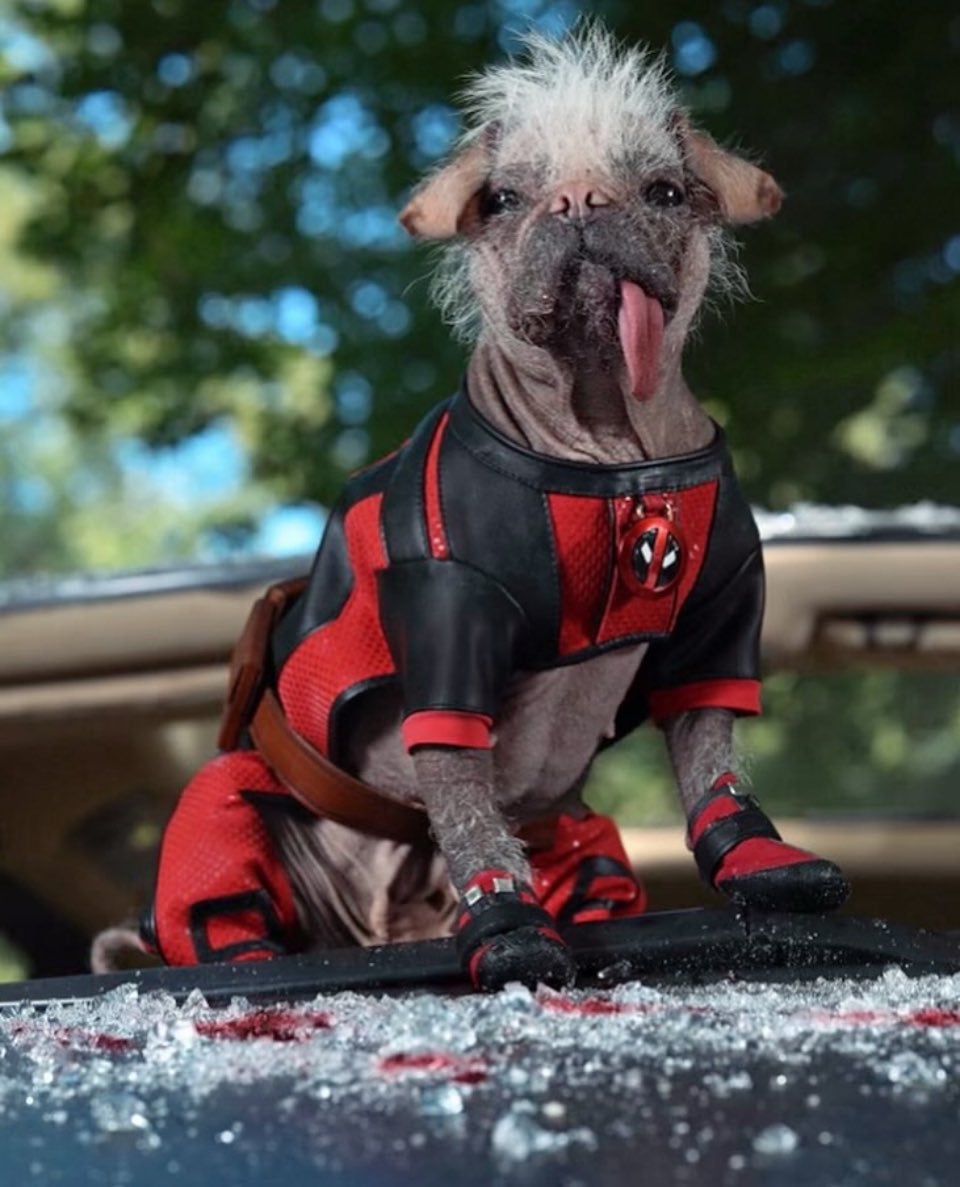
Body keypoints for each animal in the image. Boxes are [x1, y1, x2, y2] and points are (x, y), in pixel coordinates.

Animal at [129, 27, 844, 992]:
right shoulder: (448, 626)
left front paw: (758, 858)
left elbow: (711, 763)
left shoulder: (721, 616)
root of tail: (379, 930)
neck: (608, 444)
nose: (579, 202)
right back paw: (250, 954)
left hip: (585, 838)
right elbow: (465, 798)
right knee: (218, 891)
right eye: (504, 200)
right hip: (225, 803)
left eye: (662, 192)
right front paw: (503, 914)